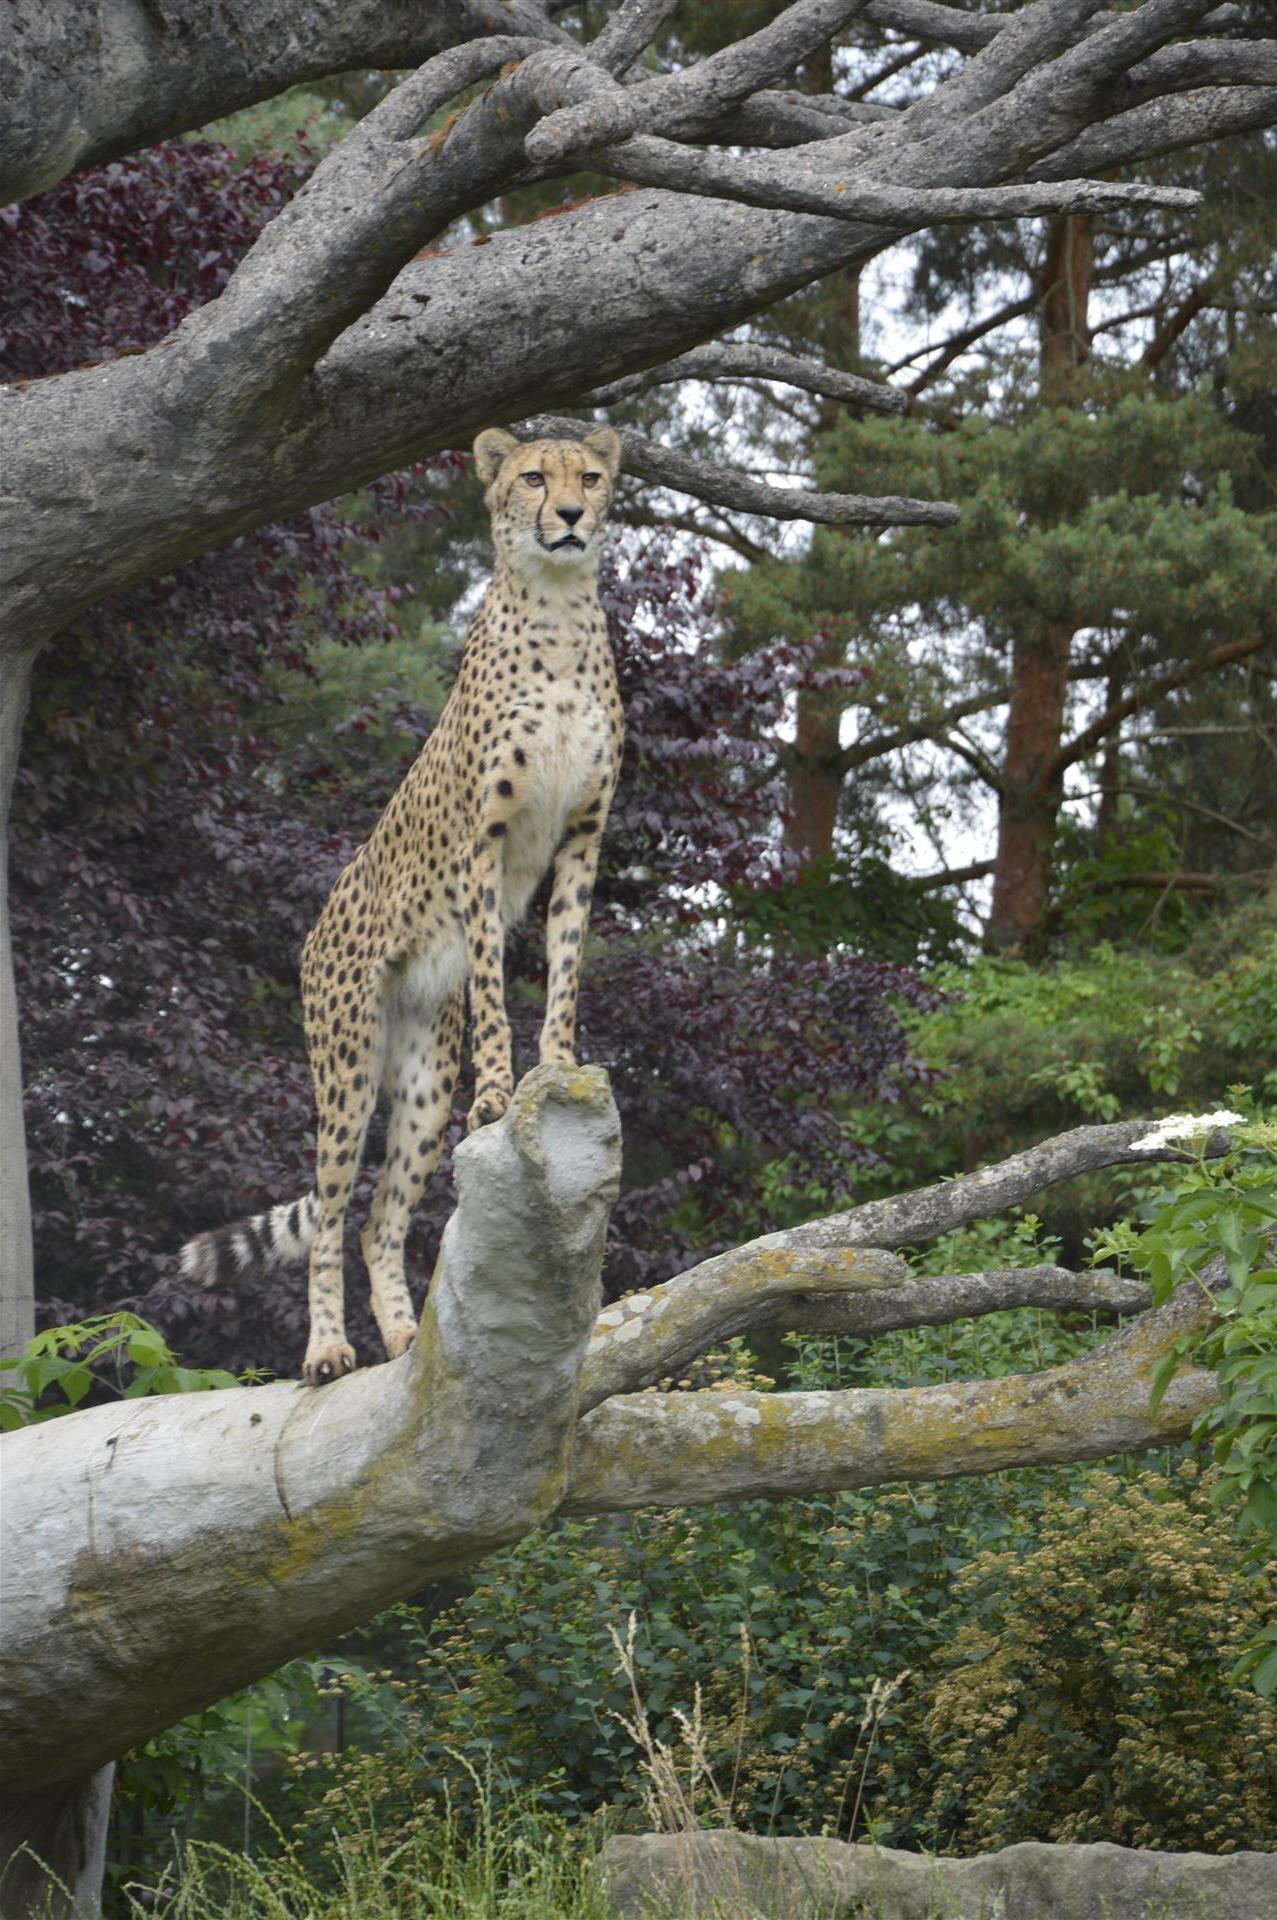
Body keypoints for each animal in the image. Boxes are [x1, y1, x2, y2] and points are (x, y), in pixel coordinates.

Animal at [177, 424, 622, 1382]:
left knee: (381, 1218)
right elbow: (492, 977)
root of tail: (315, 932)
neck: (559, 612)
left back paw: (405, 1344)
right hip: (345, 1068)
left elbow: (564, 968)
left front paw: (556, 1067)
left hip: (419, 1081)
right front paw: (499, 1091)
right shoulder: (482, 843)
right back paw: (328, 1350)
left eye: (589, 476)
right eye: (533, 478)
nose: (571, 514)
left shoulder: (581, 839)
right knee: (334, 1212)